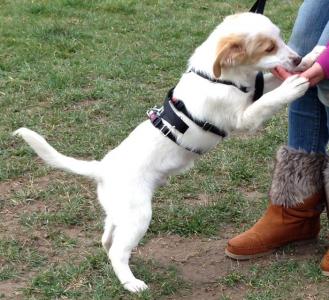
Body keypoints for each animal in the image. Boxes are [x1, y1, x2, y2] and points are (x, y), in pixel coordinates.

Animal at [14, 12, 308, 292]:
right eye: (269, 48)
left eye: (280, 39)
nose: (297, 58)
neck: (219, 77)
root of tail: (101, 168)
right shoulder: (244, 118)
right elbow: (269, 100)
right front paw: (293, 85)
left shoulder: (254, 89)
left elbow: (269, 81)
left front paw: (307, 64)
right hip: (138, 215)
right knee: (117, 252)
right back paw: (131, 283)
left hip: (119, 212)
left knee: (109, 236)